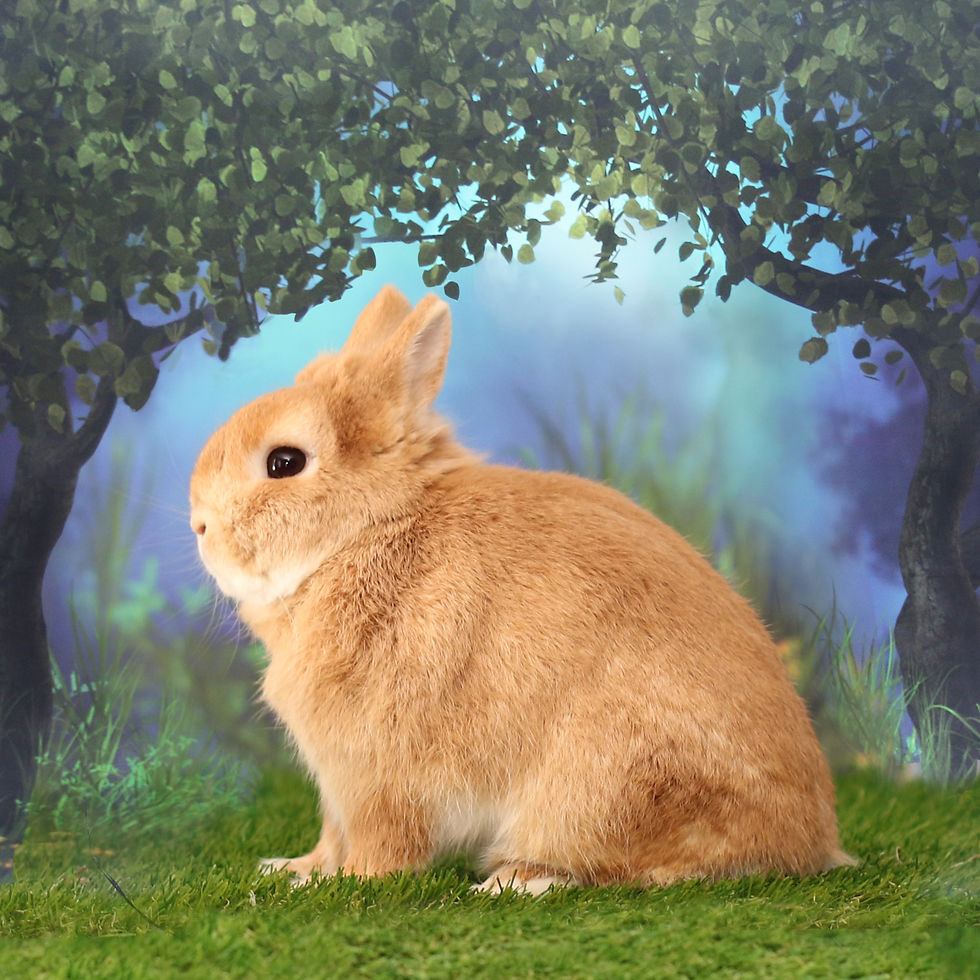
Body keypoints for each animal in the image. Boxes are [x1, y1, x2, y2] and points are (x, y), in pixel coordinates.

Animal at [189, 284, 855, 894]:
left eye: (284, 463)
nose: (199, 525)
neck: (368, 530)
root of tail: (810, 841)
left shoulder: (377, 772)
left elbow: (384, 845)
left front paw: (353, 883)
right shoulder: (336, 784)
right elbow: (331, 836)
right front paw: (294, 871)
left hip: (604, 788)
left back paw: (515, 880)